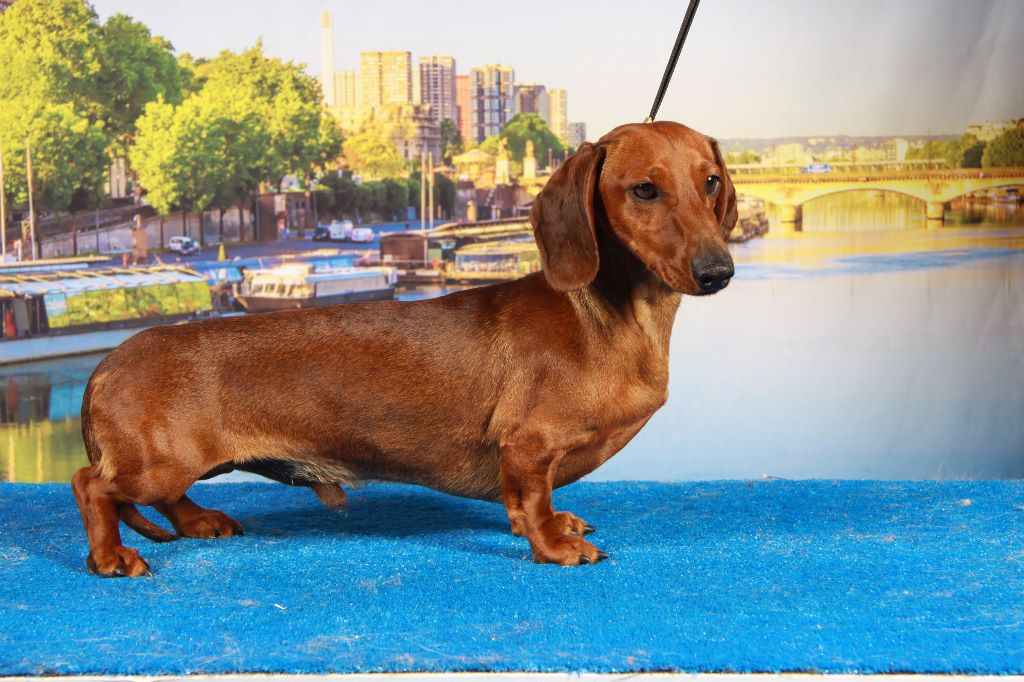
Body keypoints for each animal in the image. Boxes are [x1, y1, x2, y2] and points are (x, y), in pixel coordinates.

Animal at [71, 121, 737, 577]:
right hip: (162, 461)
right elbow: (531, 500)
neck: (604, 316)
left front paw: (557, 523)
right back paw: (112, 557)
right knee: (92, 486)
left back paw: (201, 521)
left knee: (156, 497)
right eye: (644, 190)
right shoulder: (528, 444)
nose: (719, 272)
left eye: (711, 182)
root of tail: (107, 363)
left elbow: (534, 502)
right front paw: (554, 544)